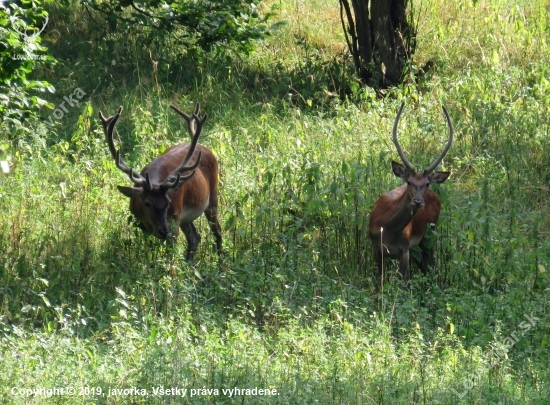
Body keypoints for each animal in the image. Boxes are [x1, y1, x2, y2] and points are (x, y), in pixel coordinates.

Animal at [101, 104, 224, 260]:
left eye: (167, 202)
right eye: (147, 203)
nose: (163, 231)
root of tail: (207, 149)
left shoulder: (174, 219)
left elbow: (170, 253)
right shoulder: (142, 224)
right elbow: (150, 251)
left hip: (212, 197)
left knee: (217, 231)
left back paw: (221, 262)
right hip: (186, 218)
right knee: (194, 237)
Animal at [370, 102, 452, 282]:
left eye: (427, 183)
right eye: (409, 182)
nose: (418, 201)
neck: (387, 229)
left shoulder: (405, 249)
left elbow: (403, 282)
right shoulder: (376, 248)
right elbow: (380, 281)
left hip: (430, 233)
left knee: (430, 265)